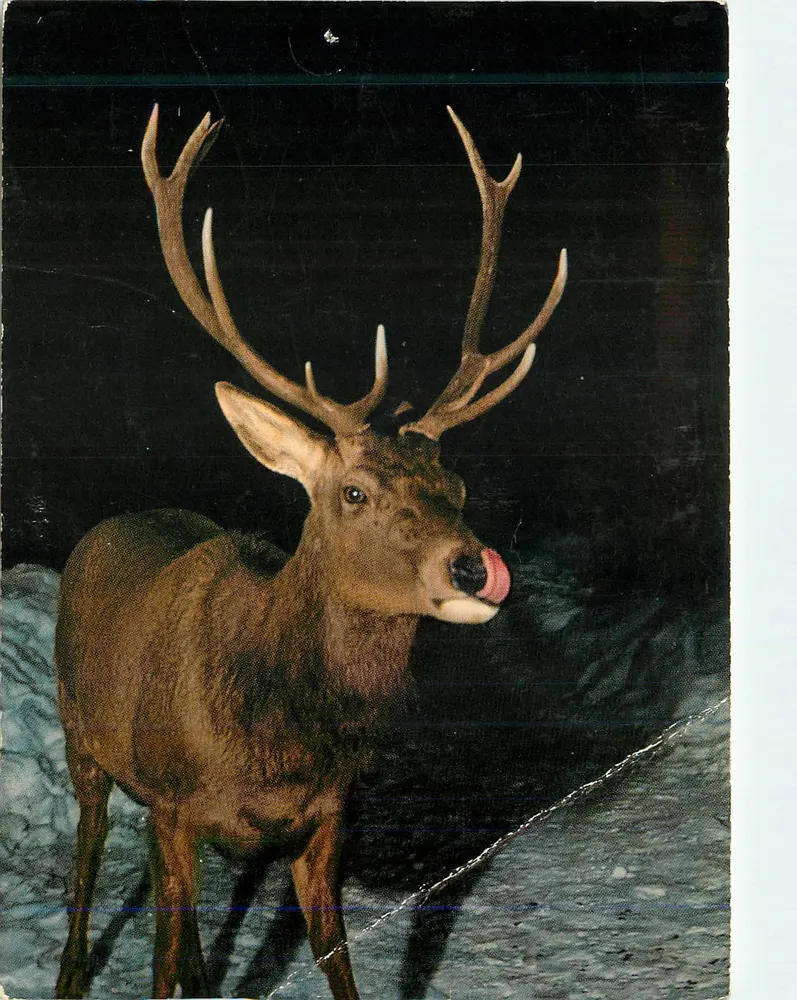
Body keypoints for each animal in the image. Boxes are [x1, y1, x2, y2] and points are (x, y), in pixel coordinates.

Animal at [54, 104, 567, 1000]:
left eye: (457, 484)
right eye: (353, 492)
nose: (474, 567)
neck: (277, 741)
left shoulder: (327, 816)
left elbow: (335, 961)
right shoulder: (173, 802)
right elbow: (156, 964)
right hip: (82, 731)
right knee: (89, 852)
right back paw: (71, 975)